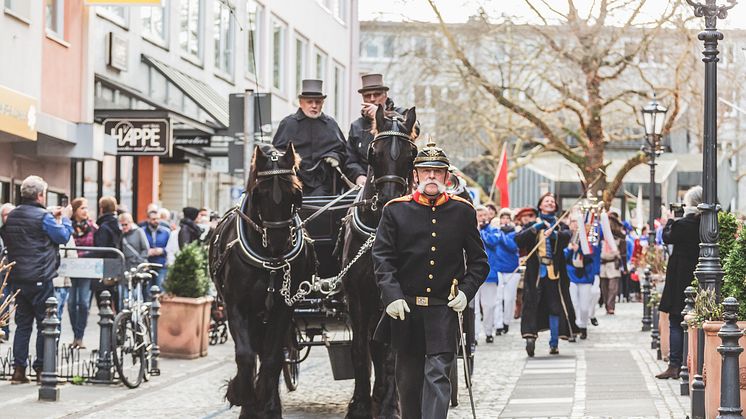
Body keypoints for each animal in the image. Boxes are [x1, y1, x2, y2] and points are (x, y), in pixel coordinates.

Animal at [209, 143, 314, 418]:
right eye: (259, 193)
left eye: (295, 193)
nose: (278, 243)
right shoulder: (236, 306)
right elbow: (245, 355)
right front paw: (243, 396)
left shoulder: (283, 308)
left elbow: (272, 357)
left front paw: (267, 406)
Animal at [338, 106, 418, 419]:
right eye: (375, 152)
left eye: (411, 154)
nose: (387, 201)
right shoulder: (357, 298)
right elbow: (360, 348)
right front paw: (359, 404)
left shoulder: (395, 297)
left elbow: (391, 352)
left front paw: (389, 405)